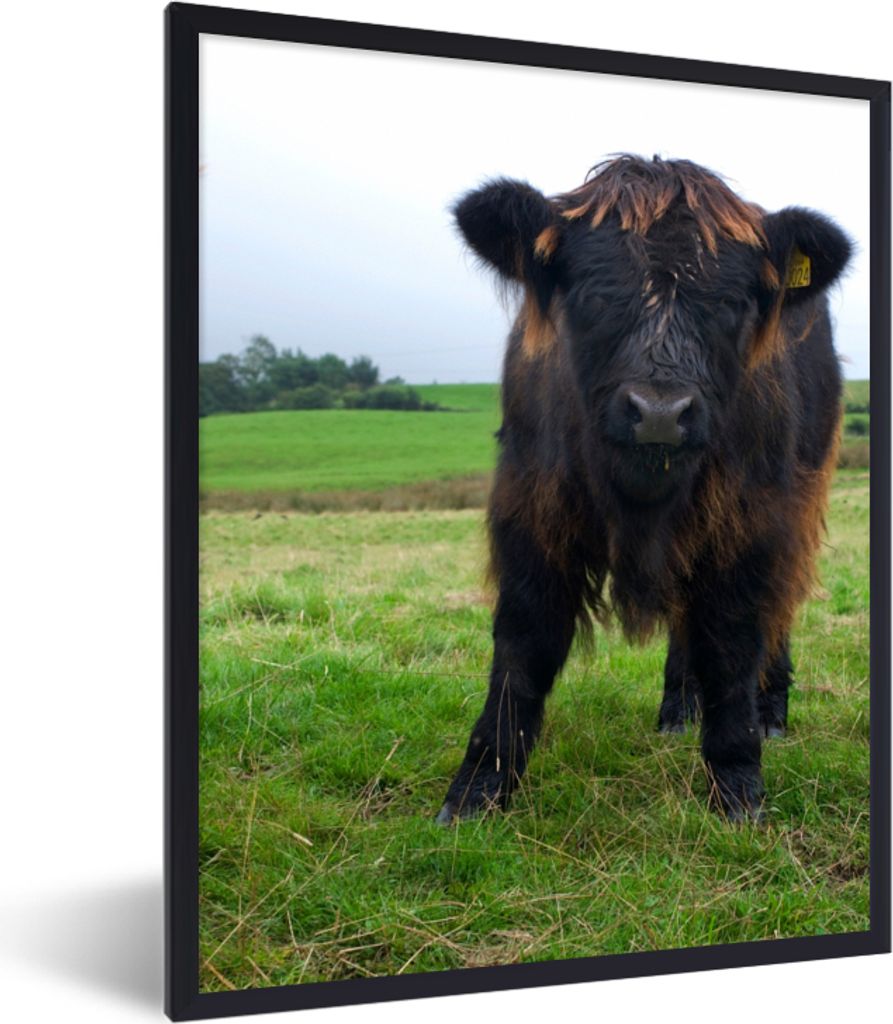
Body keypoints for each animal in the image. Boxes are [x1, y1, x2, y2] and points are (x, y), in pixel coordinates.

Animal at [437, 155, 851, 824]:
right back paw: (677, 708)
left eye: (730, 302)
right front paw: (477, 788)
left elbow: (734, 642)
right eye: (593, 293)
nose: (659, 413)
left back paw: (771, 713)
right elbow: (523, 645)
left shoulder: (752, 522)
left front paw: (738, 787)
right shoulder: (530, 511)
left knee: (777, 610)